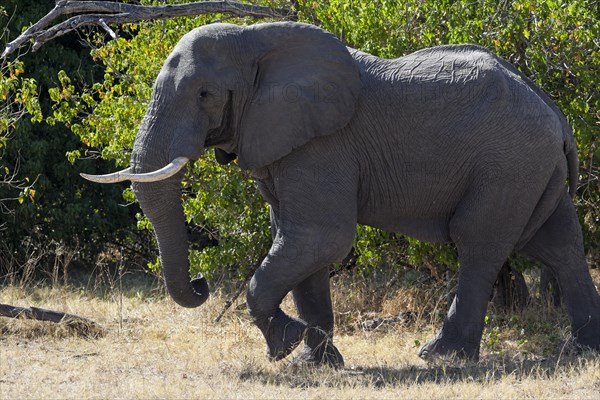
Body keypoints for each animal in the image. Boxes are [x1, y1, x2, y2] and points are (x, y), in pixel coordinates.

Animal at [83, 21, 600, 366]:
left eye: (205, 95)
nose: (201, 283)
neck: (257, 39)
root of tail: (558, 116)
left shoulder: (323, 145)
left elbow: (320, 237)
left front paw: (286, 345)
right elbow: (300, 244)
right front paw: (314, 363)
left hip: (508, 164)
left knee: (478, 243)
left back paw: (438, 357)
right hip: (530, 167)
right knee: (558, 244)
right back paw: (582, 350)